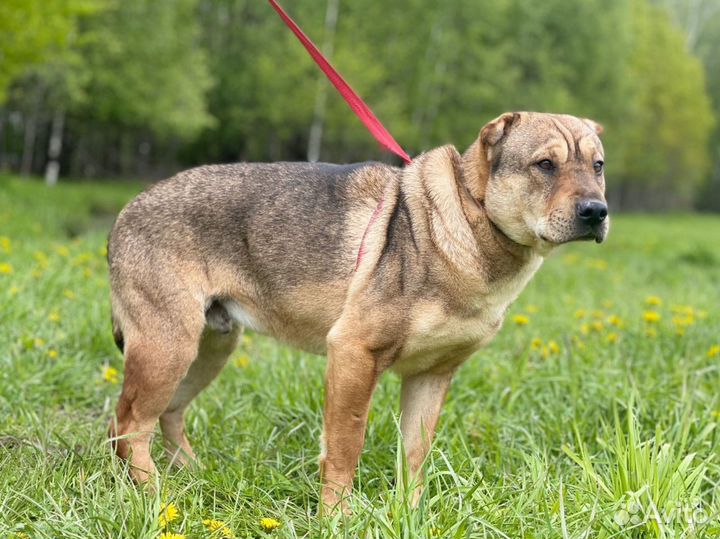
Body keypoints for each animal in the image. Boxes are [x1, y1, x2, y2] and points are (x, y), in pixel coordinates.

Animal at [107, 112, 608, 512]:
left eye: (598, 166)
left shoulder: (432, 375)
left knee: (166, 414)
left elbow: (415, 454)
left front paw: (410, 514)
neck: (471, 217)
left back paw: (190, 477)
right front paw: (337, 517)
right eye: (545, 165)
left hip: (210, 347)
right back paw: (153, 497)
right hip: (168, 346)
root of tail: (125, 212)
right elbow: (347, 443)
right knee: (128, 425)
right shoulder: (354, 353)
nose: (596, 212)